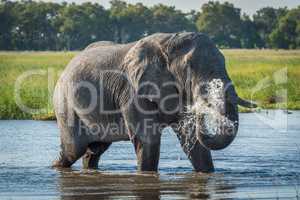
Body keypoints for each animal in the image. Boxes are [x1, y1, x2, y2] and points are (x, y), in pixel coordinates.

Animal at [52, 32, 255, 173]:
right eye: (189, 67)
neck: (168, 42)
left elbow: (192, 141)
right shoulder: (132, 92)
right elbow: (147, 139)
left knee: (94, 150)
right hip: (65, 103)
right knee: (73, 149)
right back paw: (55, 167)